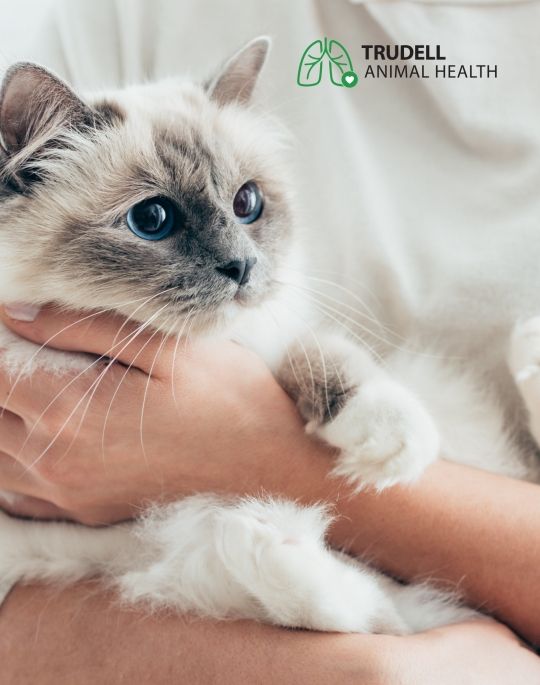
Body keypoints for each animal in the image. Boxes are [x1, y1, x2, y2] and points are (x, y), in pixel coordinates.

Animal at [0, 36, 536, 636]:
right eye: (152, 219)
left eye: (246, 204)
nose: (243, 267)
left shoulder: (272, 336)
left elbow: (325, 355)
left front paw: (390, 440)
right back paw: (259, 538)